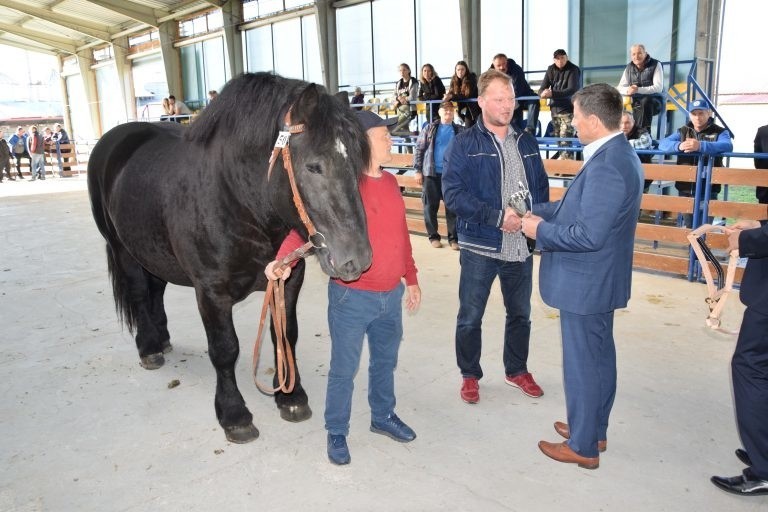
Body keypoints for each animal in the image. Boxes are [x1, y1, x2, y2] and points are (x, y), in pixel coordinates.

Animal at [88, 73, 374, 444]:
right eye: (314, 166)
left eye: (356, 162)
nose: (357, 259)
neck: (235, 197)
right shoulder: (211, 292)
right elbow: (225, 350)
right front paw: (234, 414)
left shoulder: (288, 280)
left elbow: (285, 335)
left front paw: (291, 396)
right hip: (122, 250)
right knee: (138, 294)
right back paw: (149, 346)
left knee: (155, 290)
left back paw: (162, 338)